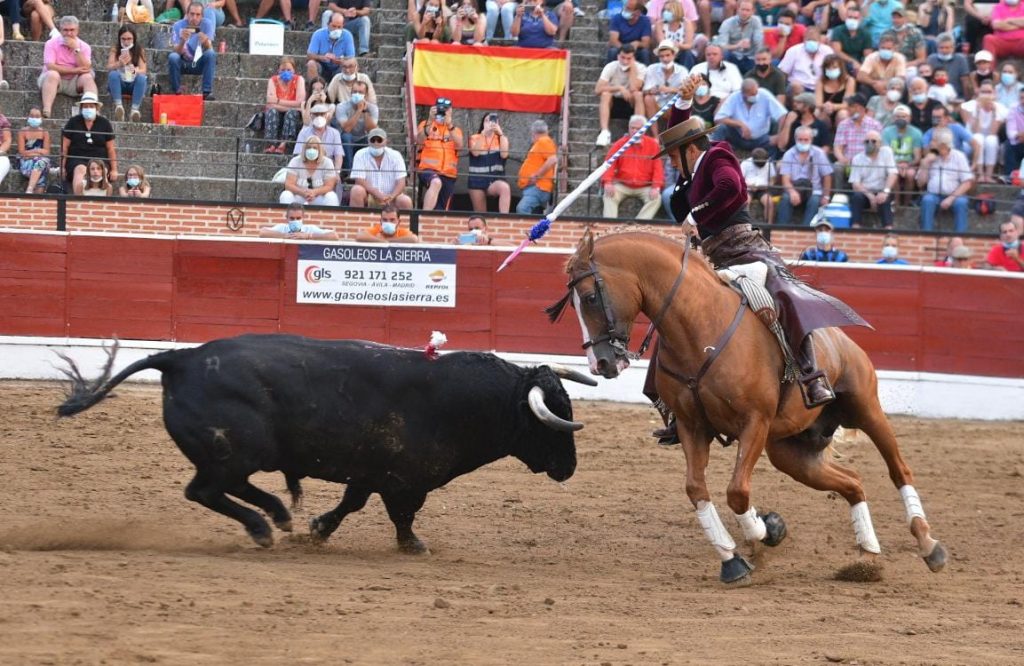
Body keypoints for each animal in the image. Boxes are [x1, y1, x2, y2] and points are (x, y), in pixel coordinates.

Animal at [59, 331, 593, 549]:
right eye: (555, 418)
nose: (570, 468)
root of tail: (180, 358)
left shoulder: (373, 472)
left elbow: (353, 502)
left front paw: (317, 528)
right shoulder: (404, 480)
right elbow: (401, 514)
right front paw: (412, 545)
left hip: (239, 454)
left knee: (220, 488)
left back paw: (278, 514)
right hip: (237, 450)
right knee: (207, 490)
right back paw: (263, 525)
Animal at [548, 229, 946, 581]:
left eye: (590, 297)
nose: (600, 363)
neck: (699, 327)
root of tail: (838, 338)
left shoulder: (754, 422)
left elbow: (737, 491)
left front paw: (766, 531)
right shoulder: (692, 427)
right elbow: (697, 490)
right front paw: (735, 558)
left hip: (865, 409)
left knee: (899, 469)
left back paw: (928, 544)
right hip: (792, 451)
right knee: (853, 482)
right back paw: (867, 557)